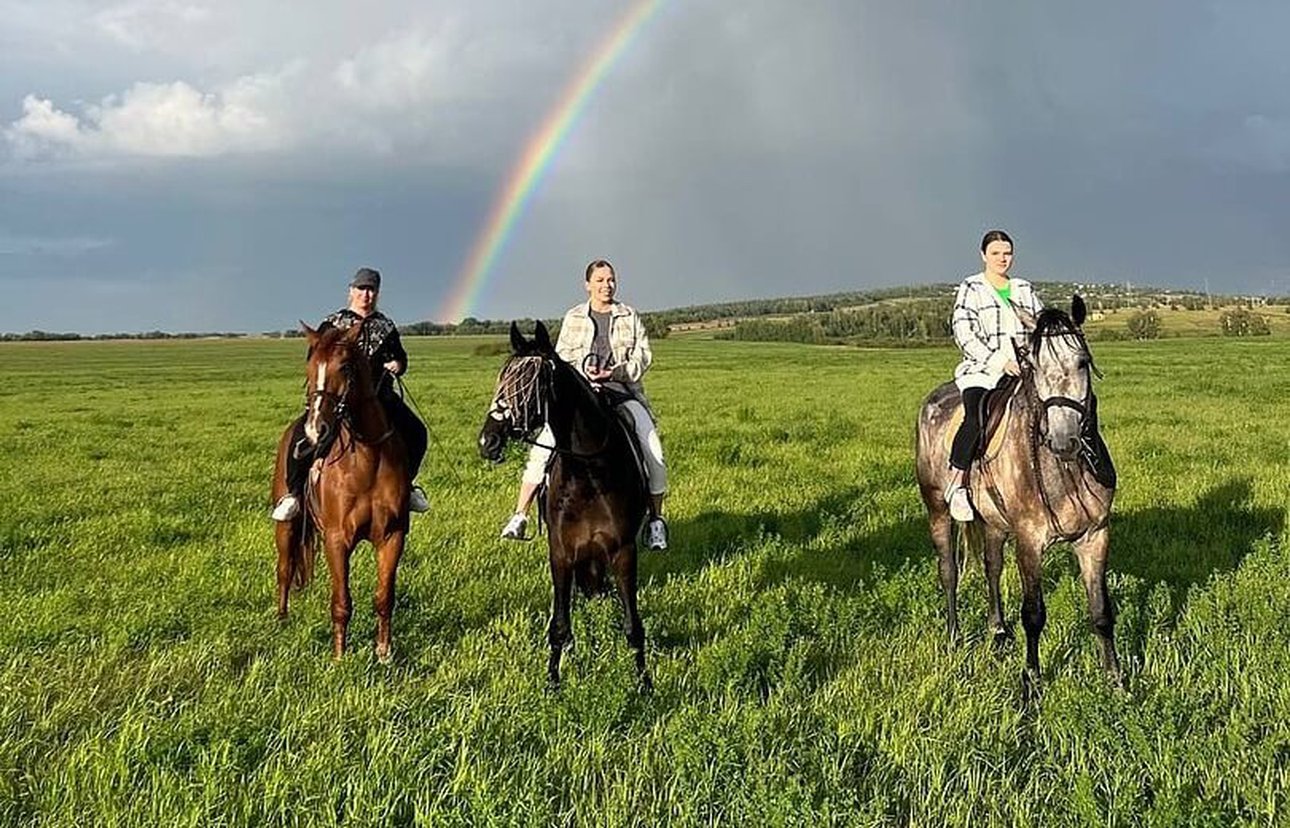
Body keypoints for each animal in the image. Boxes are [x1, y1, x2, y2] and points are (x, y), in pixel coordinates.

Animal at [270, 321, 407, 657]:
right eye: (309, 366)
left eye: (345, 367)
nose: (314, 430)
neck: (368, 459)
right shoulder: (337, 539)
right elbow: (341, 602)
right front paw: (340, 657)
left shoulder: (393, 535)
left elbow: (384, 597)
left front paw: (383, 652)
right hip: (287, 526)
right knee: (284, 569)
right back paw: (281, 619)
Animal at [477, 319, 650, 686]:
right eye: (504, 377)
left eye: (528, 383)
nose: (488, 441)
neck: (589, 471)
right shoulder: (560, 552)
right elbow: (559, 625)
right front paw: (553, 682)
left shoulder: (624, 550)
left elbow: (633, 626)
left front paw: (644, 683)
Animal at [918, 296, 1119, 696]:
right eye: (1034, 366)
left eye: (1082, 362)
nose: (1064, 441)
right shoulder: (1029, 540)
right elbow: (1033, 615)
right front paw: (1032, 684)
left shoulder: (1095, 536)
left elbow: (1101, 612)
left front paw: (1116, 680)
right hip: (937, 510)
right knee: (949, 571)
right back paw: (954, 637)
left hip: (994, 524)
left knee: (991, 568)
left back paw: (997, 631)